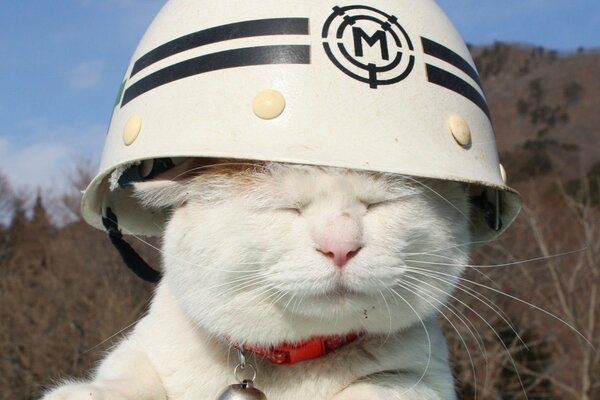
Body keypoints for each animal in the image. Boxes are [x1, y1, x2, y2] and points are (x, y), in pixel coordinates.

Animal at [43, 160, 474, 400]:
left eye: (378, 205)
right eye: (289, 209)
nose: (340, 247)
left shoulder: (424, 376)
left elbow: (382, 386)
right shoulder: (145, 348)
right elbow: (127, 377)